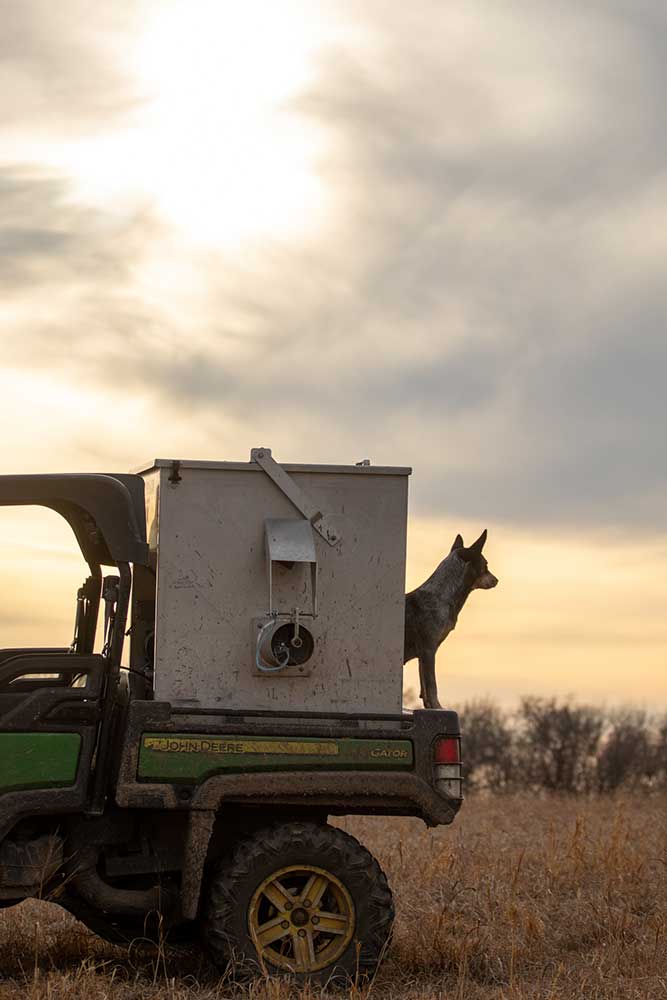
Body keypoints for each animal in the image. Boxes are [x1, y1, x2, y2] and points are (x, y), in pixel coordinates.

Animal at [404, 532, 498, 712]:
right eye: (485, 565)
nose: (497, 580)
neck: (442, 596)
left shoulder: (424, 654)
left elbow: (424, 685)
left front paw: (430, 707)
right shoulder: (428, 649)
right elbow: (432, 684)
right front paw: (438, 707)